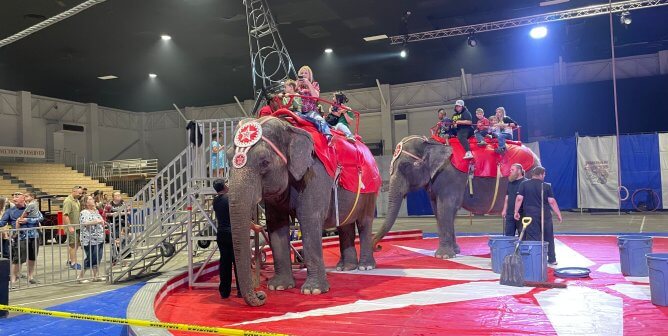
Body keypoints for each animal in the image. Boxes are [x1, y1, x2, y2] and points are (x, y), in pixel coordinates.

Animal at [227, 116, 378, 308]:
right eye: (227, 159)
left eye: (264, 162)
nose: (261, 295)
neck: (289, 127)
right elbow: (276, 224)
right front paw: (279, 287)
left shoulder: (315, 175)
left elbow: (309, 220)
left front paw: (313, 291)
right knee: (345, 225)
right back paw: (345, 267)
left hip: (370, 193)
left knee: (364, 222)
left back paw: (366, 267)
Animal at [374, 135, 540, 258]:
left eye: (405, 166)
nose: (378, 247)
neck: (432, 143)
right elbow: (439, 211)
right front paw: (455, 252)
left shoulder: (450, 178)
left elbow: (446, 208)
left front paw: (443, 256)